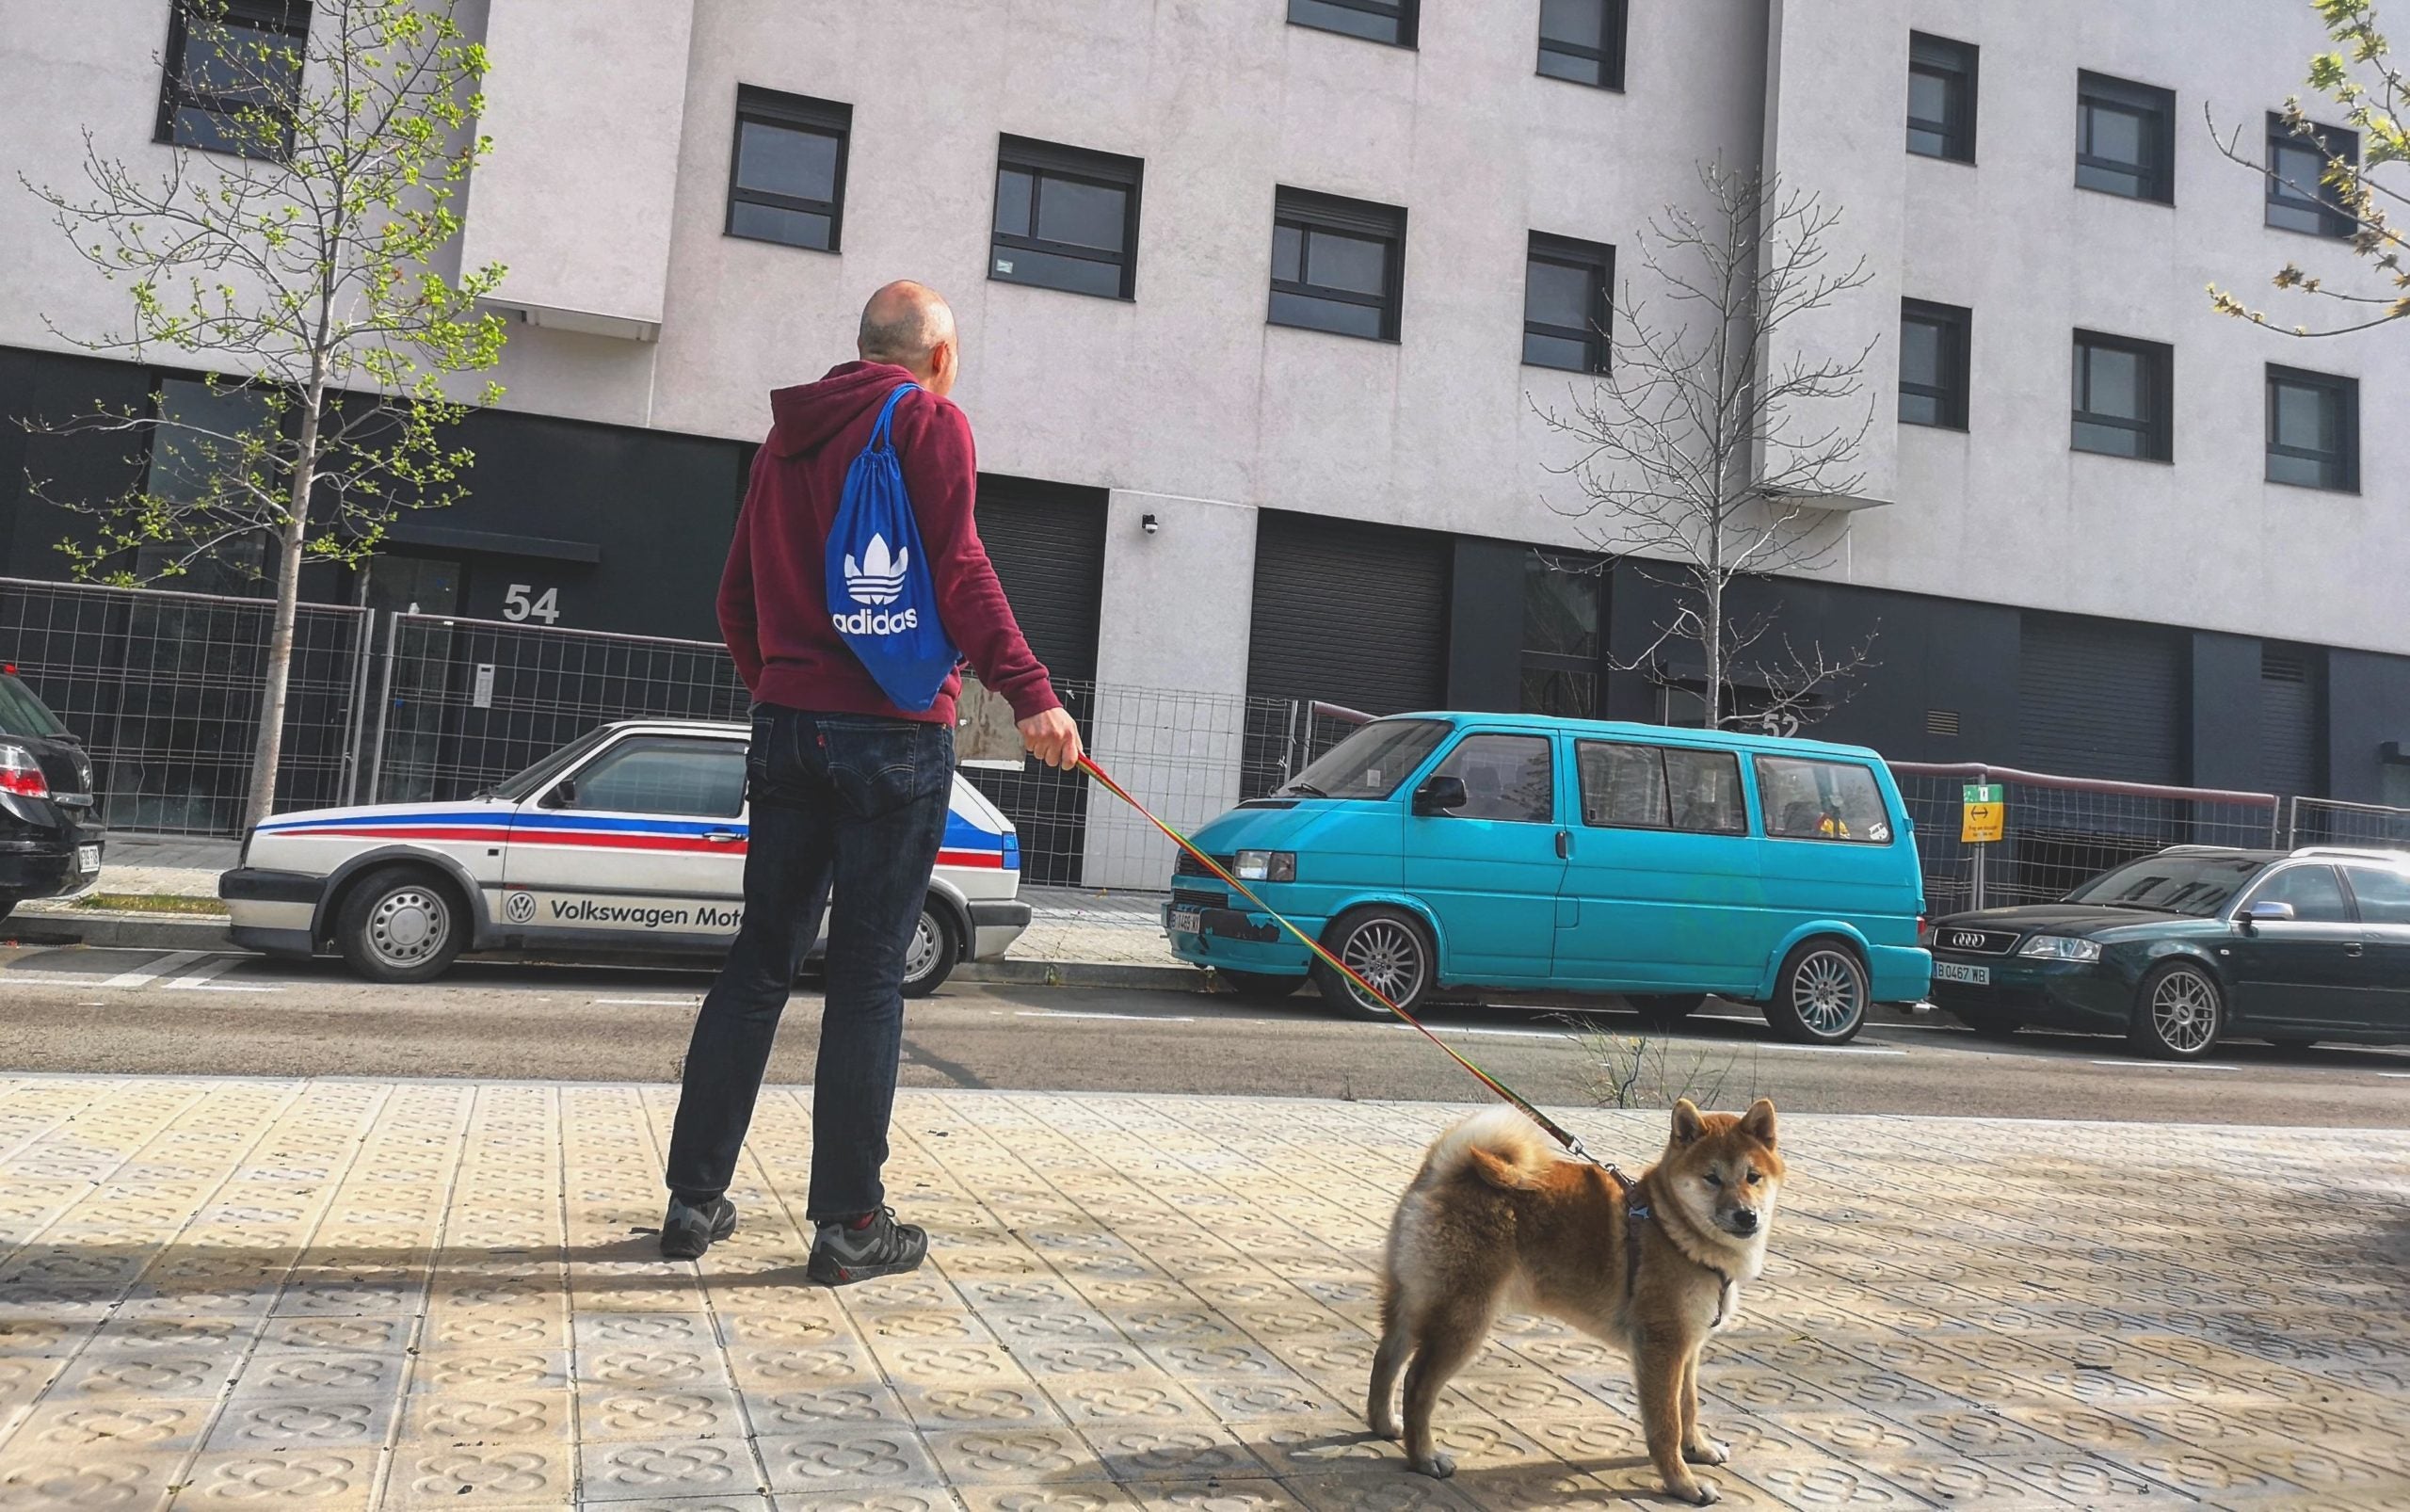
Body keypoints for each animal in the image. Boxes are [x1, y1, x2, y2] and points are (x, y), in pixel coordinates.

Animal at [1369, 1100, 1783, 1504]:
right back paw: (1424, 1457)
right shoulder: (1661, 1346)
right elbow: (1666, 1425)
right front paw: (1683, 1484)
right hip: (1464, 1320)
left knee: (1386, 1358)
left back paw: (1384, 1423)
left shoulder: (1688, 1346)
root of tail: (1443, 1172)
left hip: (1414, 1302)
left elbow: (1689, 1405)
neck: (1671, 1227)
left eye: (1753, 1177)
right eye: (1712, 1178)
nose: (1746, 1216)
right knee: (1417, 1384)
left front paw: (1697, 1448)